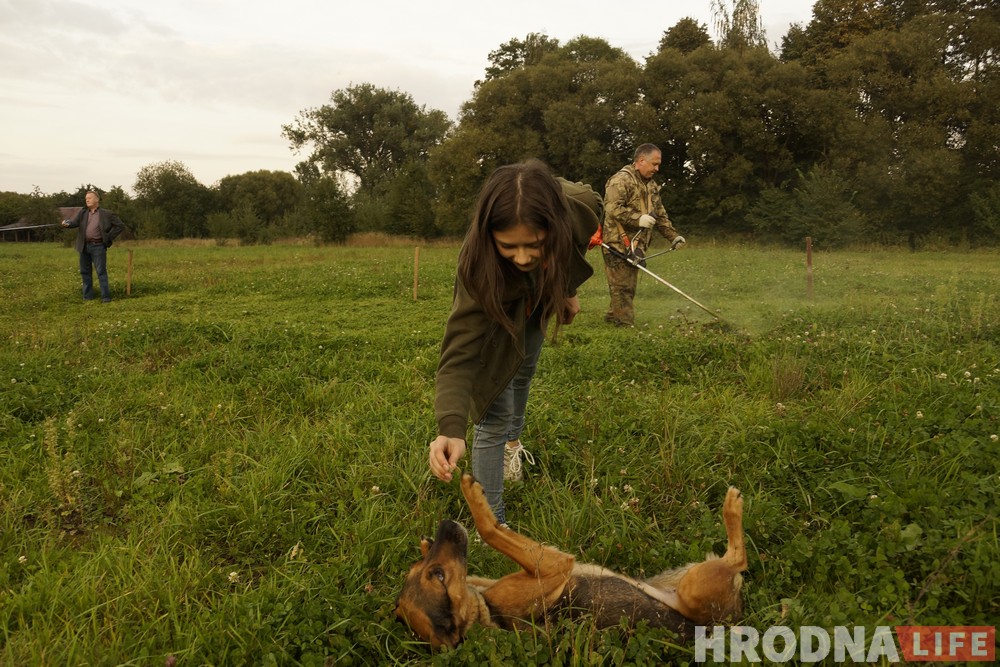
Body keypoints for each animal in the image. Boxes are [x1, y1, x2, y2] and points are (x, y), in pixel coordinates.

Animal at [395, 473, 747, 649]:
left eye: (421, 569)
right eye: (438, 576)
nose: (445, 525)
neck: (487, 611)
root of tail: (729, 624)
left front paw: (426, 543)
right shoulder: (552, 566)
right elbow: (489, 528)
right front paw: (471, 495)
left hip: (680, 576)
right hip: (694, 587)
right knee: (739, 559)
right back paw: (732, 506)